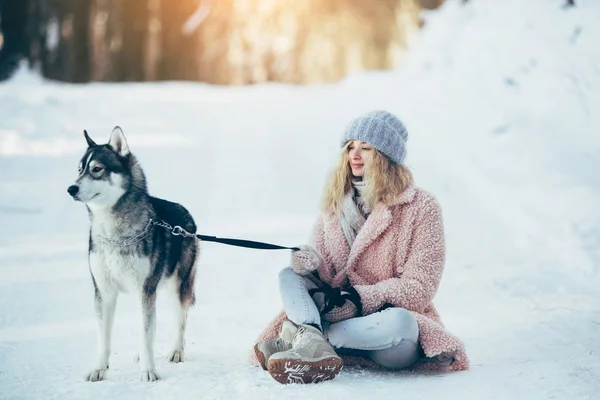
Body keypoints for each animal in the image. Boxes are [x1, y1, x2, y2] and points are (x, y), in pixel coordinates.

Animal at [67, 126, 199, 382]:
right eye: (79, 170)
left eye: (97, 169)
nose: (71, 189)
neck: (114, 234)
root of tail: (187, 216)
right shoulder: (104, 292)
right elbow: (104, 337)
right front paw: (99, 368)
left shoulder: (145, 290)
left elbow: (147, 333)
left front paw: (148, 371)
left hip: (176, 286)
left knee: (179, 318)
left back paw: (176, 350)